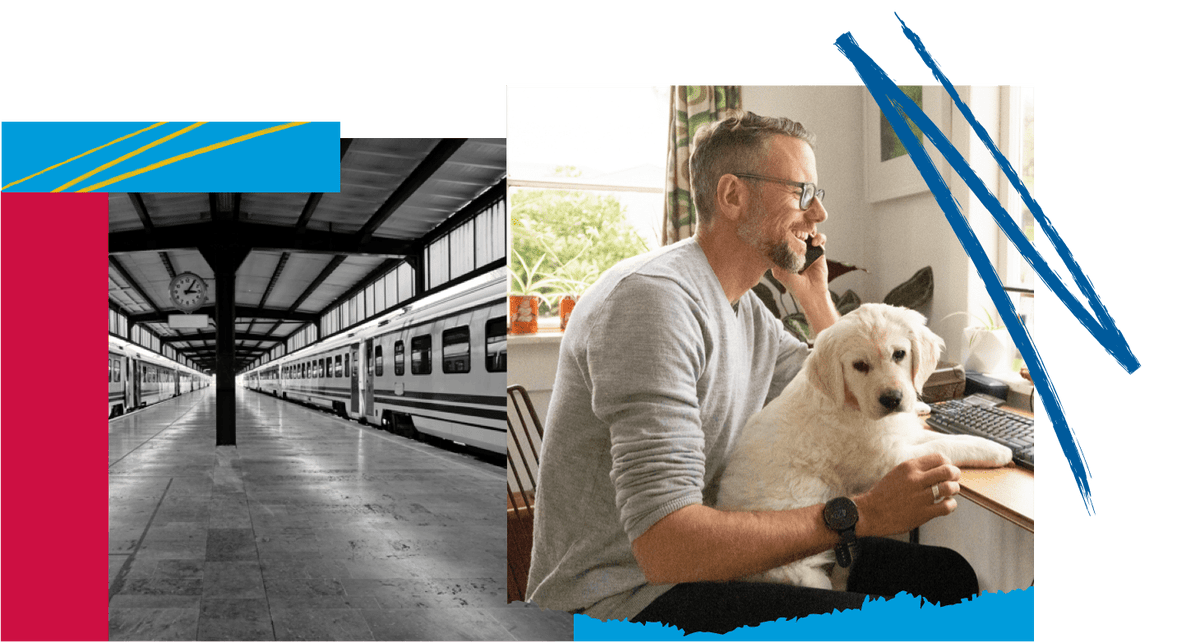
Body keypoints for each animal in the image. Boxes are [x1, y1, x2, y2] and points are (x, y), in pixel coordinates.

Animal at [710, 303, 1012, 590]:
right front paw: (996, 451)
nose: (892, 399)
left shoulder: (902, 435)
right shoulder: (889, 459)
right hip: (799, 571)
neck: (852, 402)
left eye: (899, 354)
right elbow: (944, 445)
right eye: (859, 366)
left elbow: (941, 438)